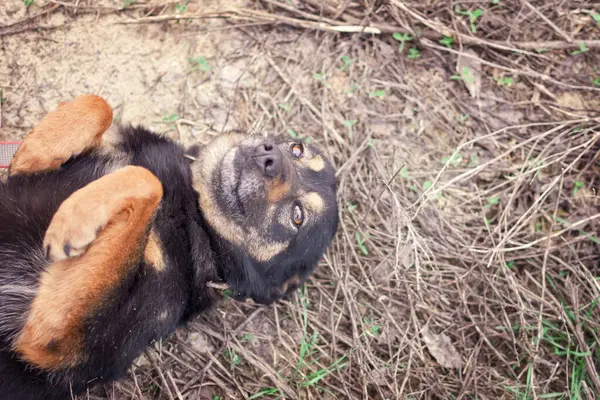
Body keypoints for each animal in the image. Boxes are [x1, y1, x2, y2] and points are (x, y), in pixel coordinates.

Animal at [0, 95, 338, 398]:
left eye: (298, 216)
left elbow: (147, 180)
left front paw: (77, 215)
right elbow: (100, 105)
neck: (194, 209)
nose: (271, 157)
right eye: (297, 149)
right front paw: (36, 150)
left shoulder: (62, 343)